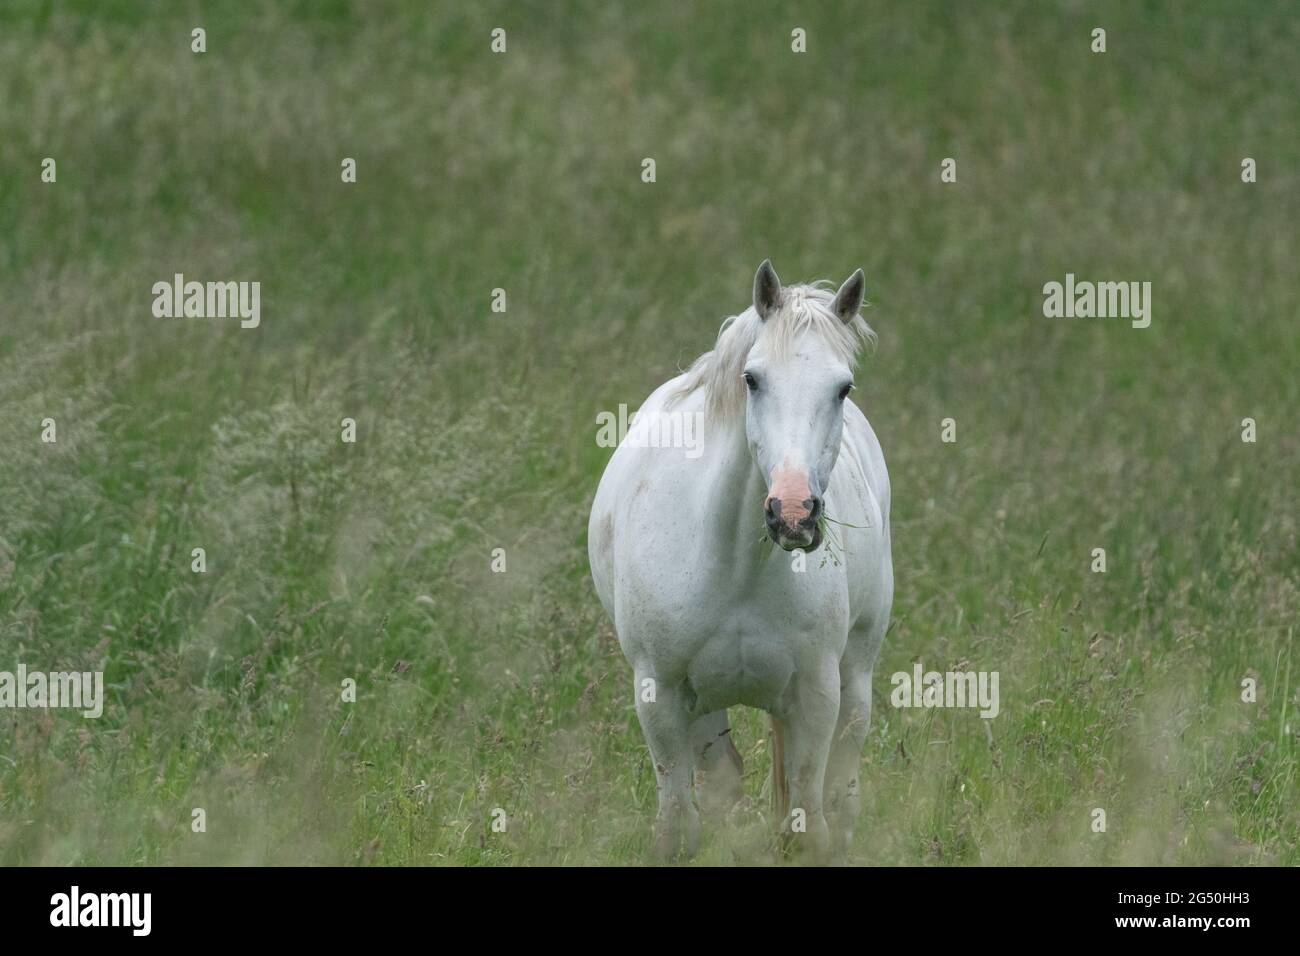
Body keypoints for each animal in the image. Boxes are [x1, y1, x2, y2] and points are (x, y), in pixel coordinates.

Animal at [588, 260, 893, 861]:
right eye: (753, 379)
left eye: (843, 388)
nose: (793, 513)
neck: (734, 568)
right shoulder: (661, 695)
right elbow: (678, 828)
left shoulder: (816, 694)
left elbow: (807, 826)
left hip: (854, 679)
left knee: (841, 794)